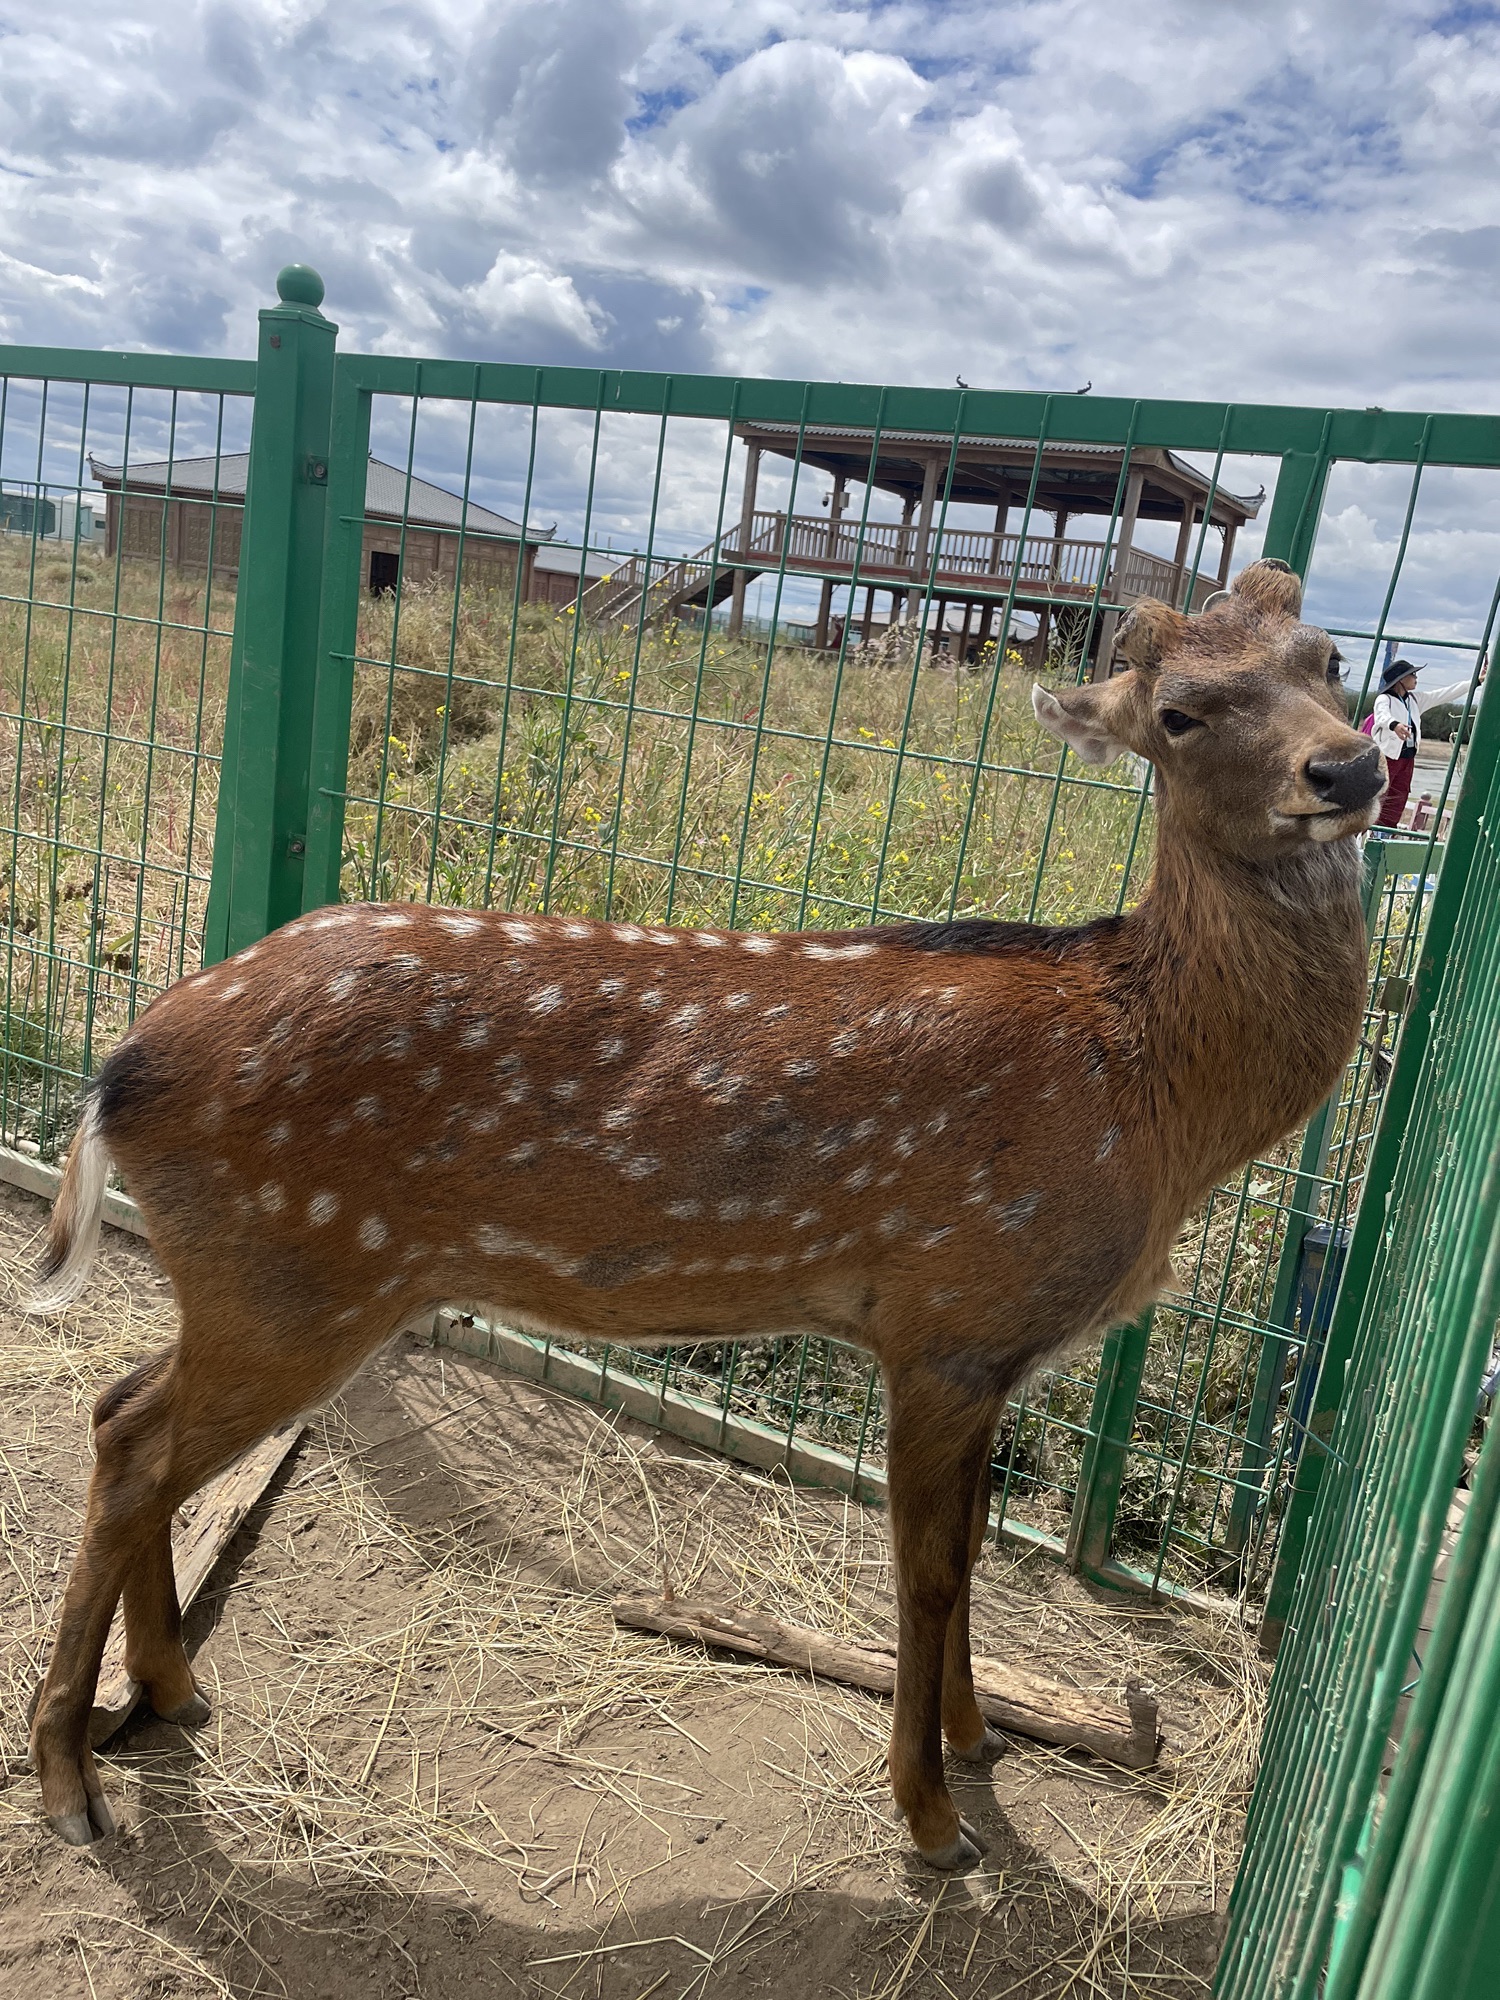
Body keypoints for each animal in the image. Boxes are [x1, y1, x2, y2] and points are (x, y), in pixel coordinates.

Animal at [22, 559, 1383, 1867]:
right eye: (1178, 713)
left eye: (1333, 661)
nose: (1350, 766)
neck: (1147, 1091)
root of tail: (116, 1069)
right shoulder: (946, 1318)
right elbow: (928, 1575)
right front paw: (934, 1818)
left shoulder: (994, 1349)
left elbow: (973, 1554)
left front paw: (978, 1735)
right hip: (294, 1273)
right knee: (133, 1442)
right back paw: (71, 1781)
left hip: (250, 1278)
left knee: (121, 1405)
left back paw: (173, 1690)